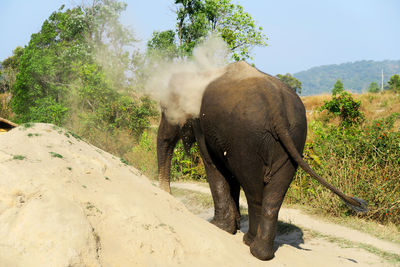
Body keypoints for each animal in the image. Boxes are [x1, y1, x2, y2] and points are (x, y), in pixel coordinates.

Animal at [155, 61, 366, 260]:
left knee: (253, 191)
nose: (169, 194)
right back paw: (261, 252)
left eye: (165, 110)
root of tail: (276, 104)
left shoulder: (202, 125)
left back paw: (250, 243)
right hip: (294, 136)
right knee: (274, 194)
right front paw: (232, 226)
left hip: (247, 139)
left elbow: (214, 166)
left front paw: (218, 227)